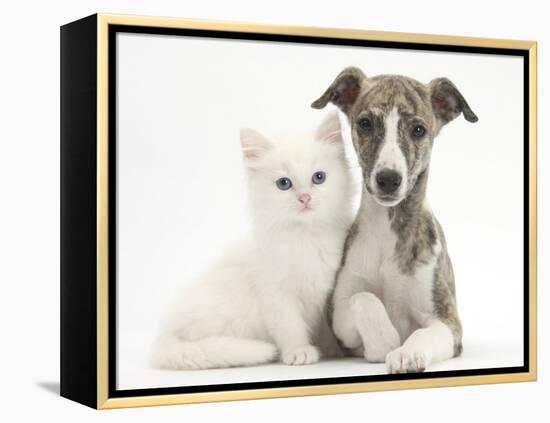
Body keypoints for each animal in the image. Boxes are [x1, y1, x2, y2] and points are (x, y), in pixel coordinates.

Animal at [152, 113, 354, 372]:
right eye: (284, 184)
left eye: (319, 178)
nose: (305, 198)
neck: (305, 236)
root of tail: (163, 339)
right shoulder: (276, 295)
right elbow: (290, 327)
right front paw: (299, 352)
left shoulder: (324, 293)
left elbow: (325, 327)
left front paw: (332, 349)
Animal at [314, 67, 478, 374]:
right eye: (365, 124)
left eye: (419, 130)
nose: (388, 179)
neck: (388, 230)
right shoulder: (338, 316)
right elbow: (364, 299)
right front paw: (385, 341)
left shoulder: (448, 321)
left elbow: (422, 333)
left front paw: (406, 354)